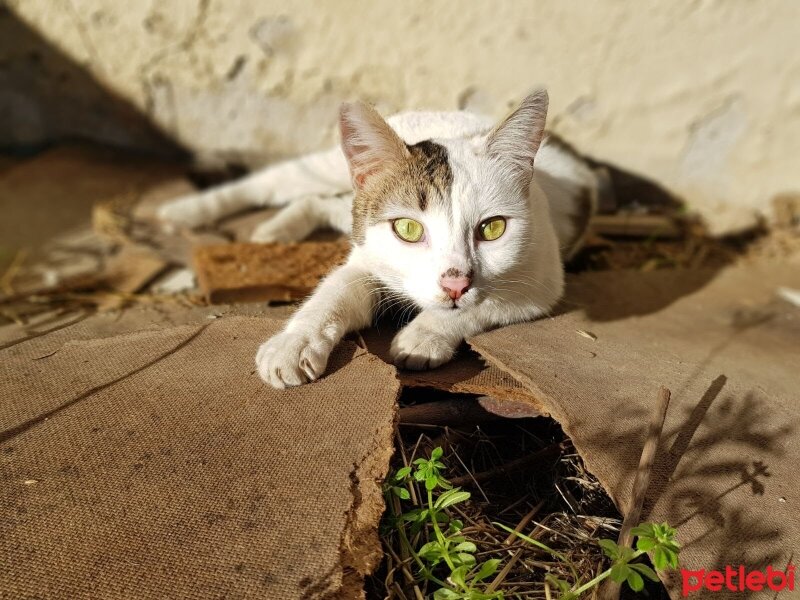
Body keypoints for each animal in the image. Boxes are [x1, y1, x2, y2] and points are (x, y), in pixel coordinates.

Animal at [158, 89, 600, 390]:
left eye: (492, 229)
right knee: (272, 183)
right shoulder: (367, 259)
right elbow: (334, 289)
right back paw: (182, 212)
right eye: (408, 229)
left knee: (319, 201)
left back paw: (275, 230)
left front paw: (423, 336)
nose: (455, 283)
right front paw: (294, 341)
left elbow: (486, 304)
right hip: (329, 171)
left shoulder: (540, 283)